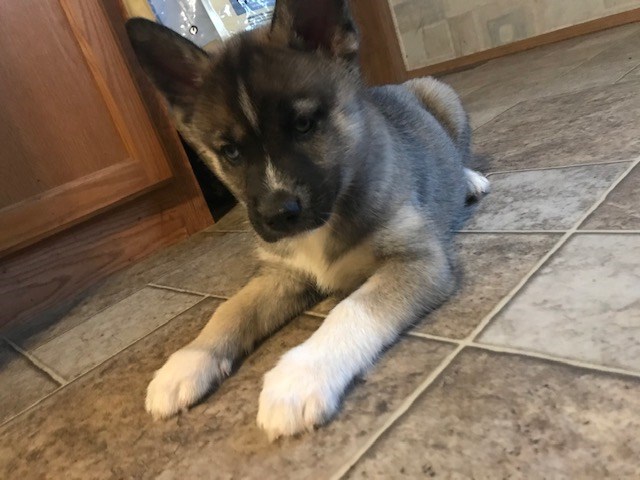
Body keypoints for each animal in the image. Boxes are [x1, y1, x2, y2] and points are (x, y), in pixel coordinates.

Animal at [127, 0, 492, 438]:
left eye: (303, 124)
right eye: (230, 151)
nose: (277, 215)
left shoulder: (417, 260)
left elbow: (351, 310)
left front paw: (299, 378)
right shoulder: (281, 273)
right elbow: (230, 308)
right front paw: (186, 361)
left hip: (442, 95)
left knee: (460, 151)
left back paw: (468, 178)